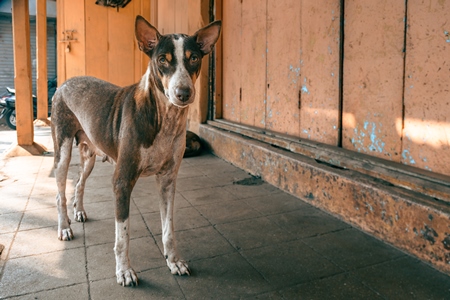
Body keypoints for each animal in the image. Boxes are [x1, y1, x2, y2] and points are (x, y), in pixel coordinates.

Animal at [51, 14, 221, 286]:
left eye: (194, 58)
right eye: (163, 60)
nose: (184, 93)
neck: (164, 119)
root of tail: (66, 82)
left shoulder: (168, 181)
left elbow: (168, 229)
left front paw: (173, 261)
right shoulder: (122, 181)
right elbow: (123, 236)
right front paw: (124, 271)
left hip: (89, 155)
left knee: (78, 183)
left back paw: (79, 212)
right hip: (63, 150)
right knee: (60, 194)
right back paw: (64, 227)